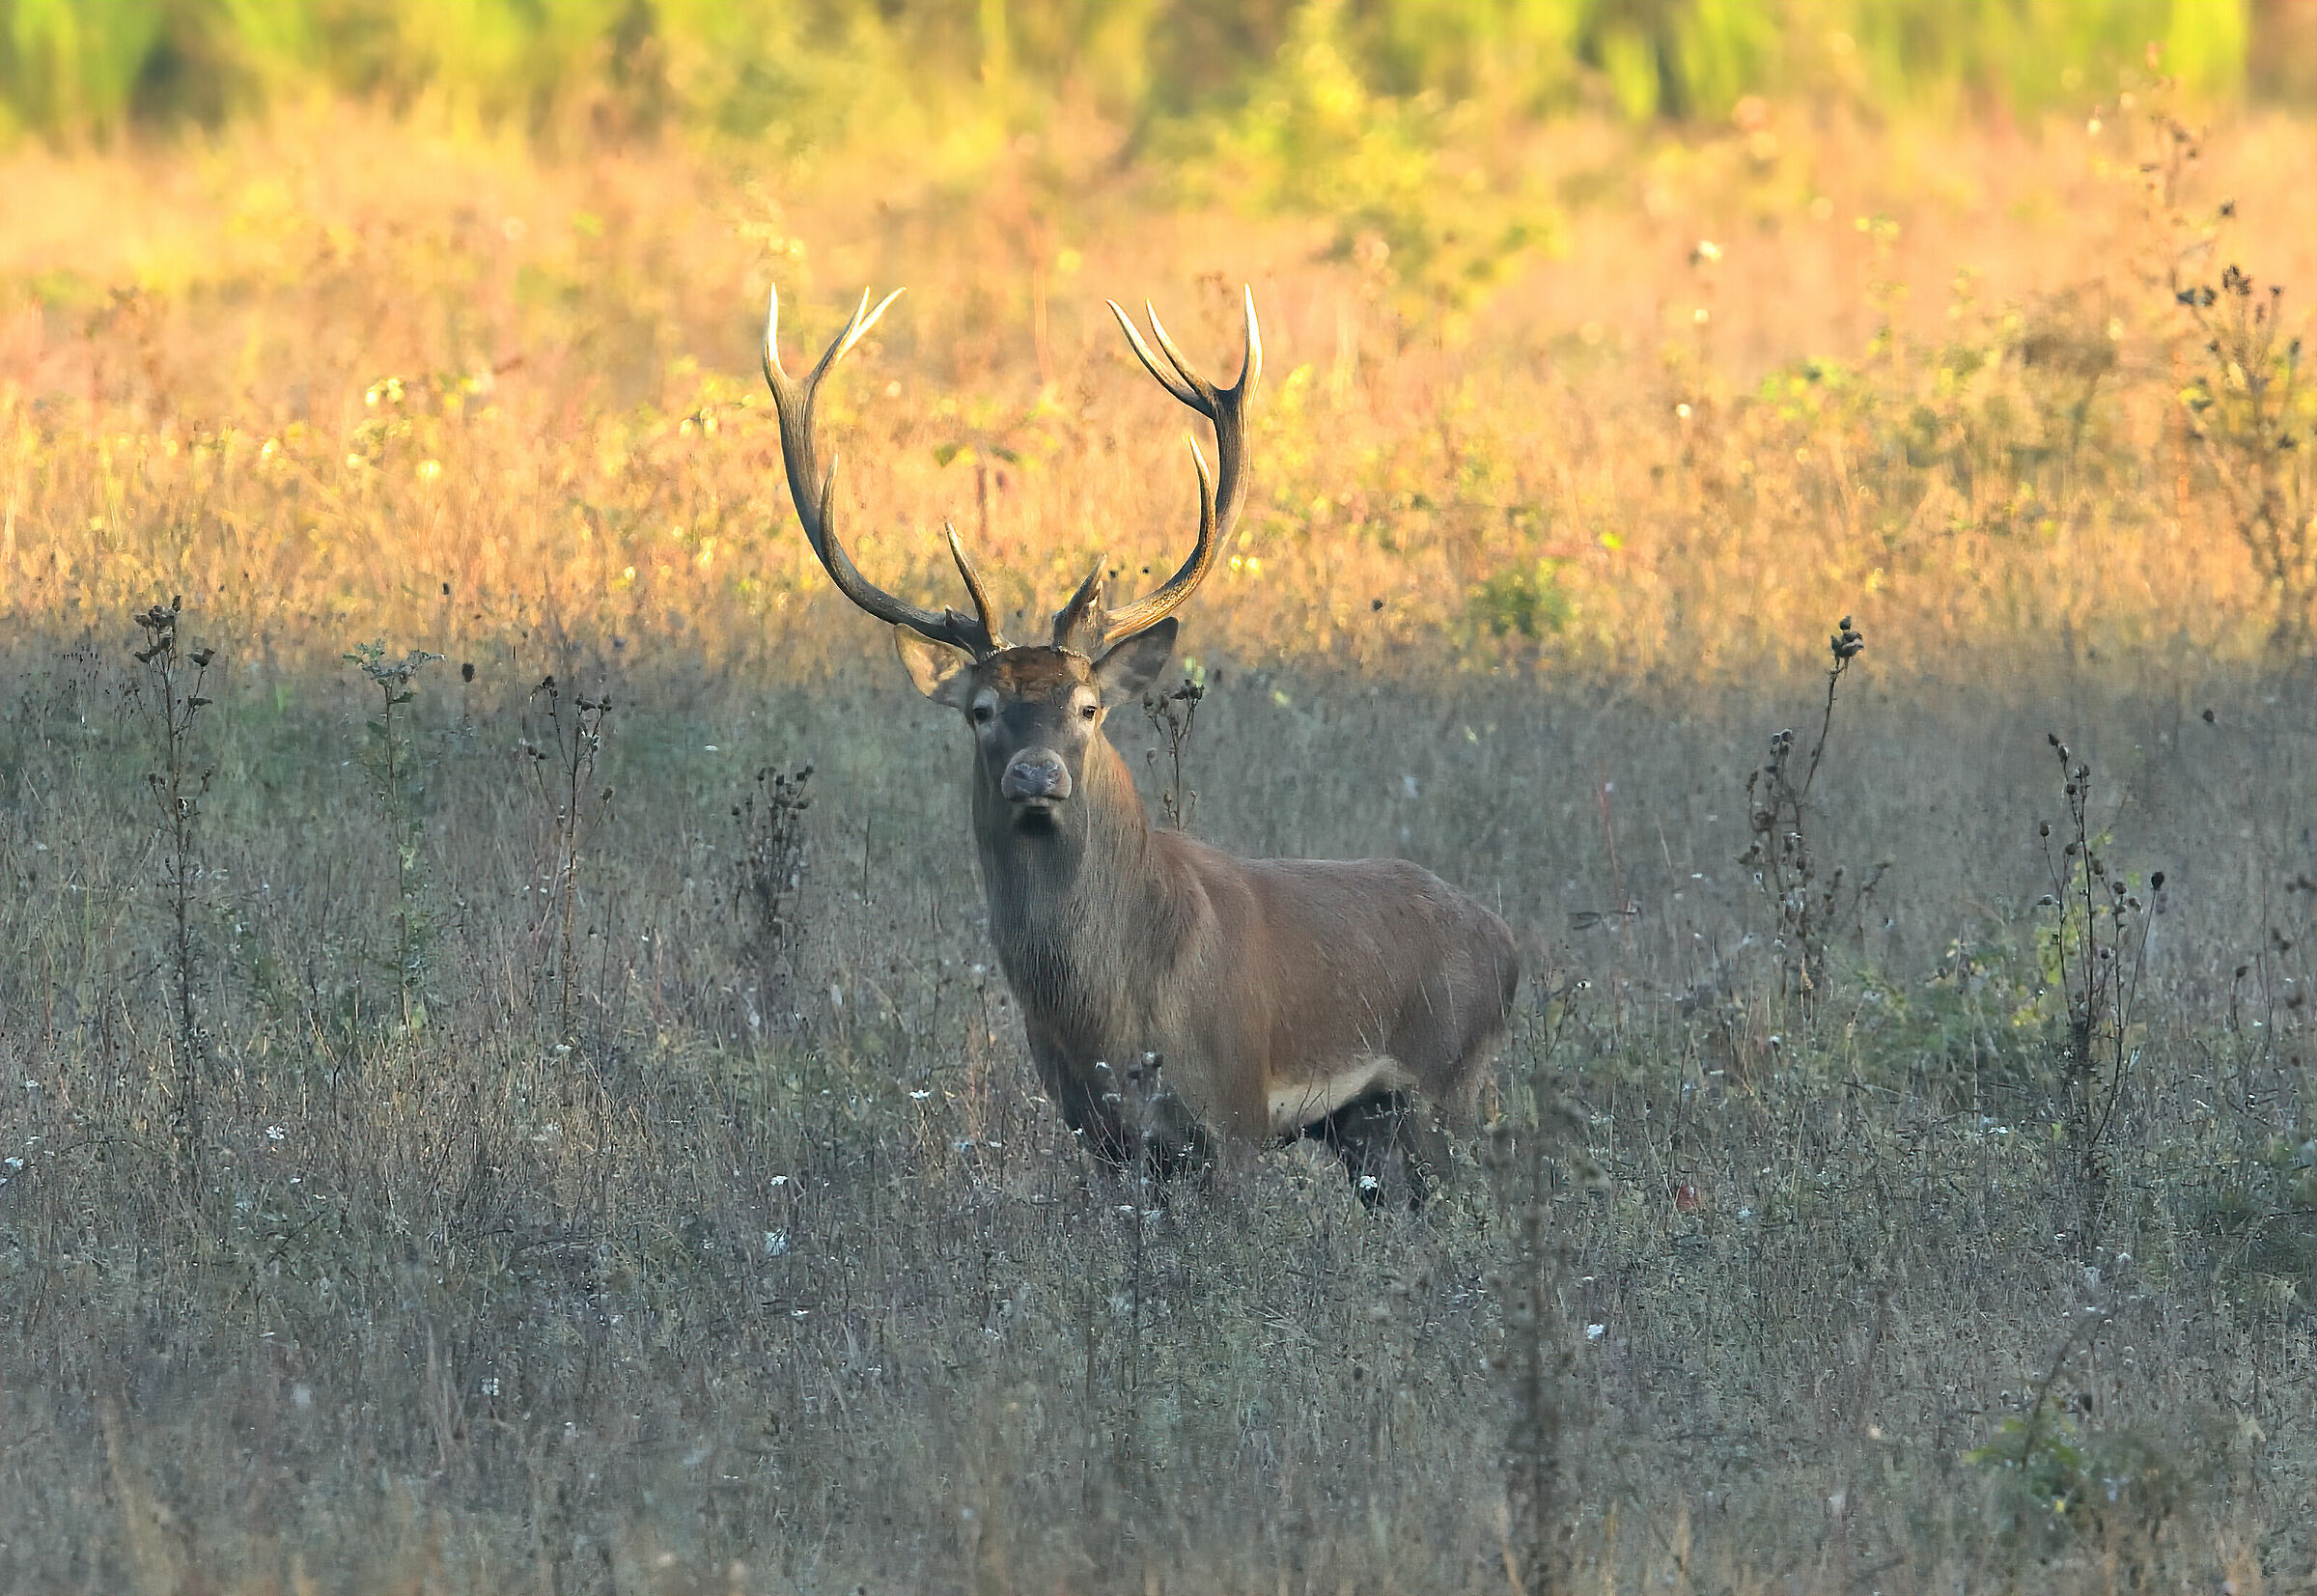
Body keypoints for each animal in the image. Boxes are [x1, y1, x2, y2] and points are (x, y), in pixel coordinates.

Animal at [760, 281, 1519, 1204]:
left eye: (1089, 707)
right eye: (981, 709)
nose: (1036, 773)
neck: (1110, 1015)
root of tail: (1508, 945)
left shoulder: (1234, 1111)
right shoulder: (1101, 1136)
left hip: (1447, 1084)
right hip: (1366, 1125)